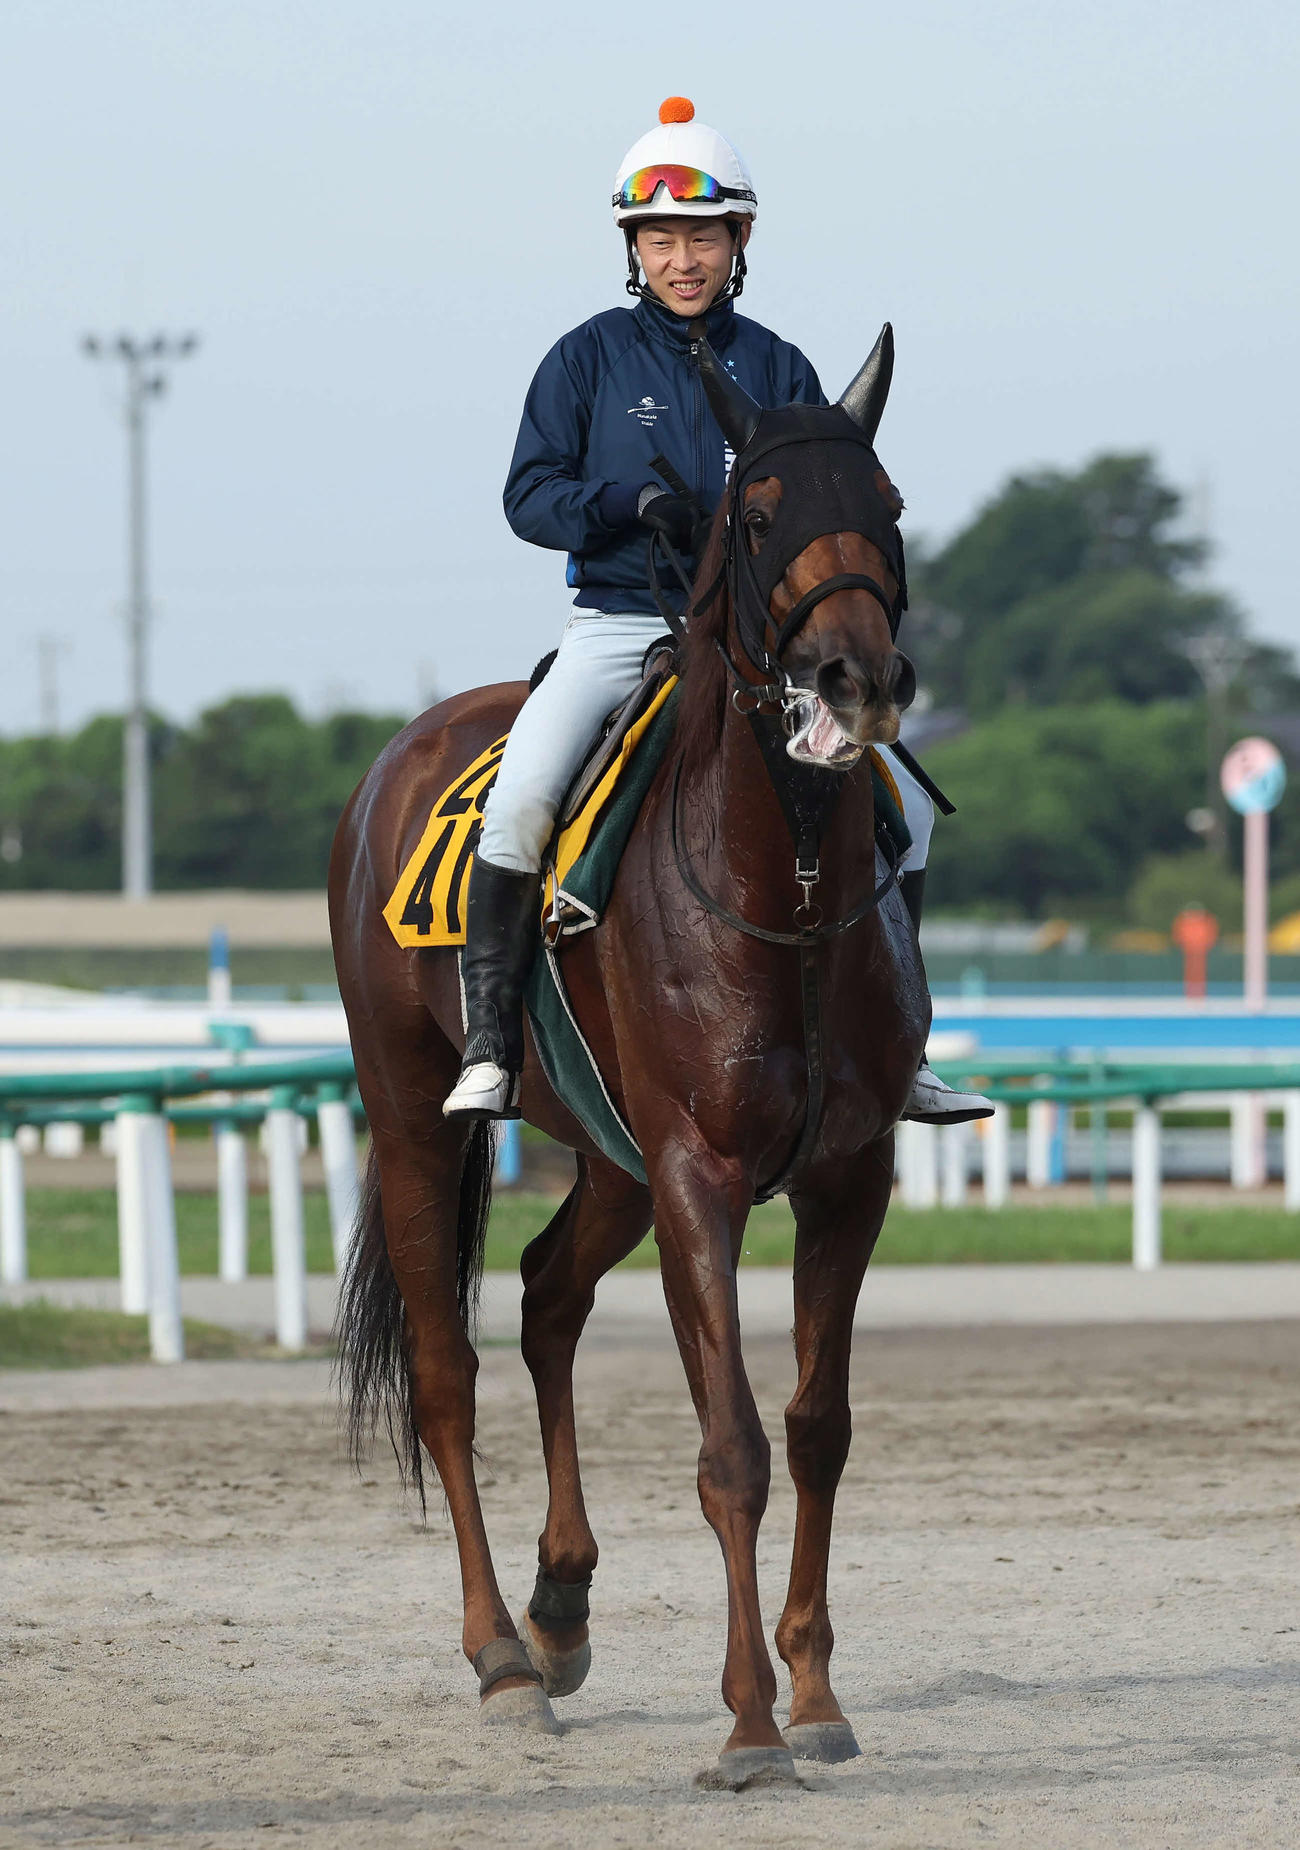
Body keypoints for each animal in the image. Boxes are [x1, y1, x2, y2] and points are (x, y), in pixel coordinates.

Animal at [328, 325, 929, 1789]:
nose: (858, 679)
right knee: (447, 1372)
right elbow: (731, 1448)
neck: (788, 888)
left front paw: (814, 1690)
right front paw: (749, 1723)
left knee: (546, 1294)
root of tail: (397, 756)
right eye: (756, 513)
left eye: (886, 505)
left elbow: (817, 1428)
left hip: (608, 1157)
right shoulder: (699, 1174)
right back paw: (501, 1653)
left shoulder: (846, 1176)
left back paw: (559, 1606)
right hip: (415, 1116)